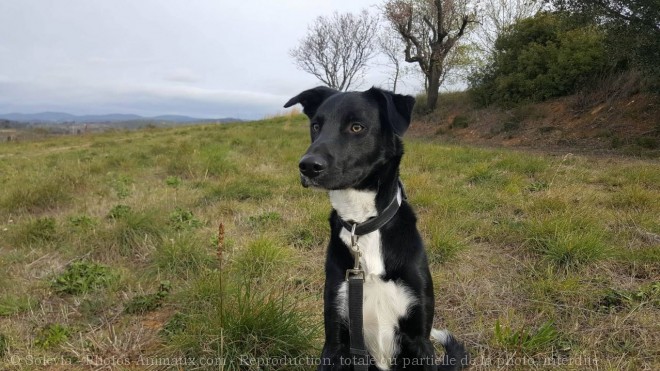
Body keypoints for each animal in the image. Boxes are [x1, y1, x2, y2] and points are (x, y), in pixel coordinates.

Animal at [286, 88, 466, 371]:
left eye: (357, 127)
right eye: (316, 126)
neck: (362, 224)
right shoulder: (335, 342)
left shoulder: (420, 340)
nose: (307, 166)